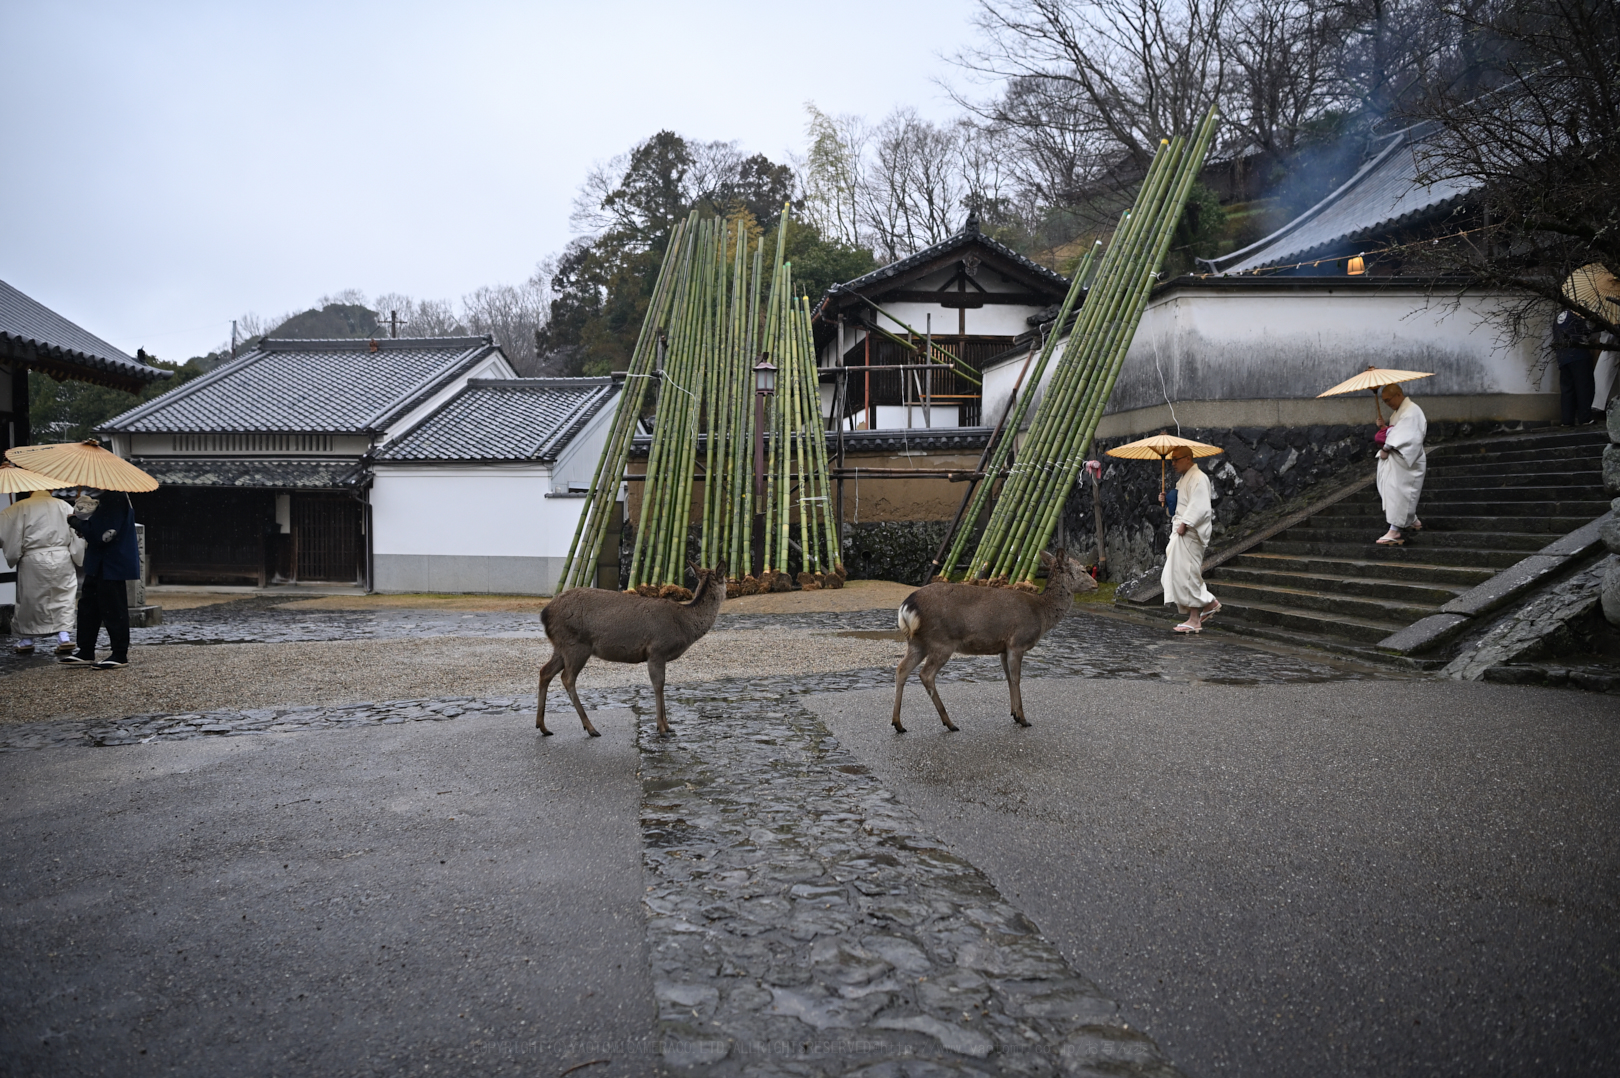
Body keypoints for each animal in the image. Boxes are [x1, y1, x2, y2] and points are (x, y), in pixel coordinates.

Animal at [537, 557, 729, 735]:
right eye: (726, 580)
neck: (684, 624)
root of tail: (544, 614)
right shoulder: (657, 649)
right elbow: (659, 684)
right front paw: (662, 728)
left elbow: (662, 684)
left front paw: (668, 726)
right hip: (576, 645)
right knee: (567, 678)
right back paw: (590, 728)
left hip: (561, 646)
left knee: (545, 671)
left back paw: (543, 726)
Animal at [887, 547, 1101, 732]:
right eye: (1083, 570)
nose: (1096, 585)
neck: (1041, 614)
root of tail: (906, 607)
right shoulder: (1017, 642)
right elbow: (1016, 678)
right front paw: (1023, 718)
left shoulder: (1002, 648)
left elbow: (1007, 677)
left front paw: (1014, 713)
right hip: (942, 641)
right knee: (926, 674)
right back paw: (950, 723)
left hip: (917, 642)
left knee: (901, 669)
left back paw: (898, 723)